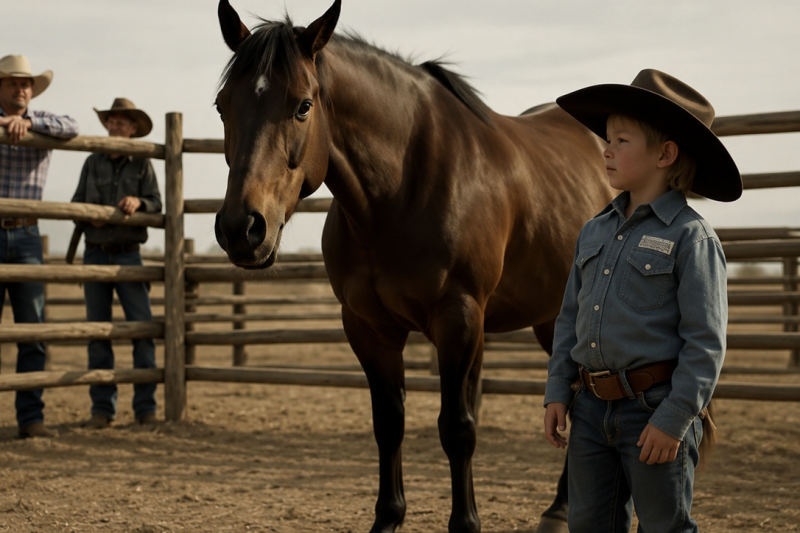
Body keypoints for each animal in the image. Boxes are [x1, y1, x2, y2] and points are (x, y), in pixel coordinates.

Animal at [213, 1, 613, 531]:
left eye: (302, 105)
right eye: (222, 105)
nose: (242, 228)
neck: (399, 191)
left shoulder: (458, 320)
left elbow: (457, 428)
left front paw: (465, 523)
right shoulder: (369, 327)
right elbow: (389, 423)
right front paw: (388, 517)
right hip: (553, 317)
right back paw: (560, 509)